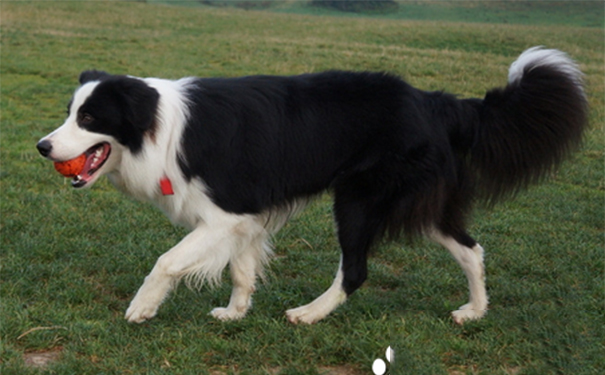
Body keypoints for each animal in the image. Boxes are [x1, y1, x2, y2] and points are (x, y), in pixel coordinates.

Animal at [36, 47, 584, 324]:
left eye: (89, 118)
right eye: (68, 112)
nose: (42, 146)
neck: (157, 126)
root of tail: (436, 100)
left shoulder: (227, 211)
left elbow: (168, 260)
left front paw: (142, 308)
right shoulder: (245, 217)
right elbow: (241, 269)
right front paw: (235, 313)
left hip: (361, 197)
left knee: (356, 269)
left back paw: (309, 314)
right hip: (420, 201)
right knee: (472, 247)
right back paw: (473, 311)